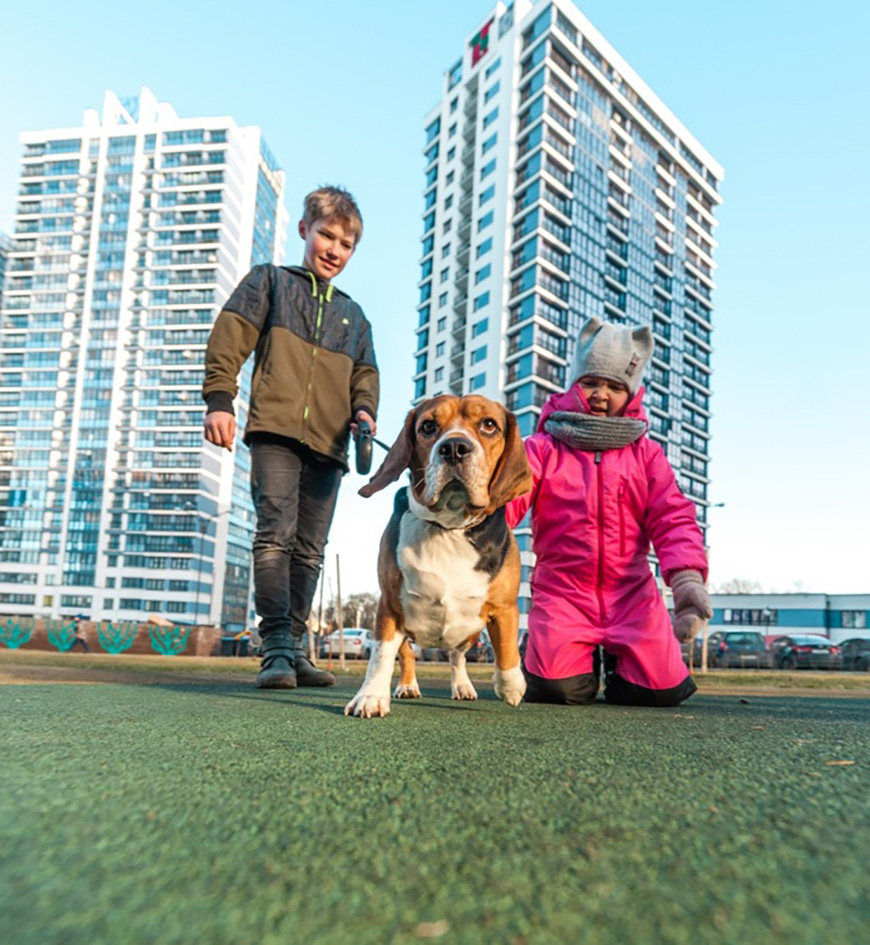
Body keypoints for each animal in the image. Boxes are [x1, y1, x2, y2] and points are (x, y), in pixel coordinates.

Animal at [346, 392, 536, 716]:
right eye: (428, 426)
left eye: (489, 425)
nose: (455, 448)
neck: (449, 529)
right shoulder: (390, 606)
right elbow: (380, 657)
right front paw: (371, 696)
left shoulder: (505, 608)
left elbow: (508, 651)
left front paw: (511, 687)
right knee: (408, 655)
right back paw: (408, 685)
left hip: (470, 634)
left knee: (457, 656)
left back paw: (463, 686)